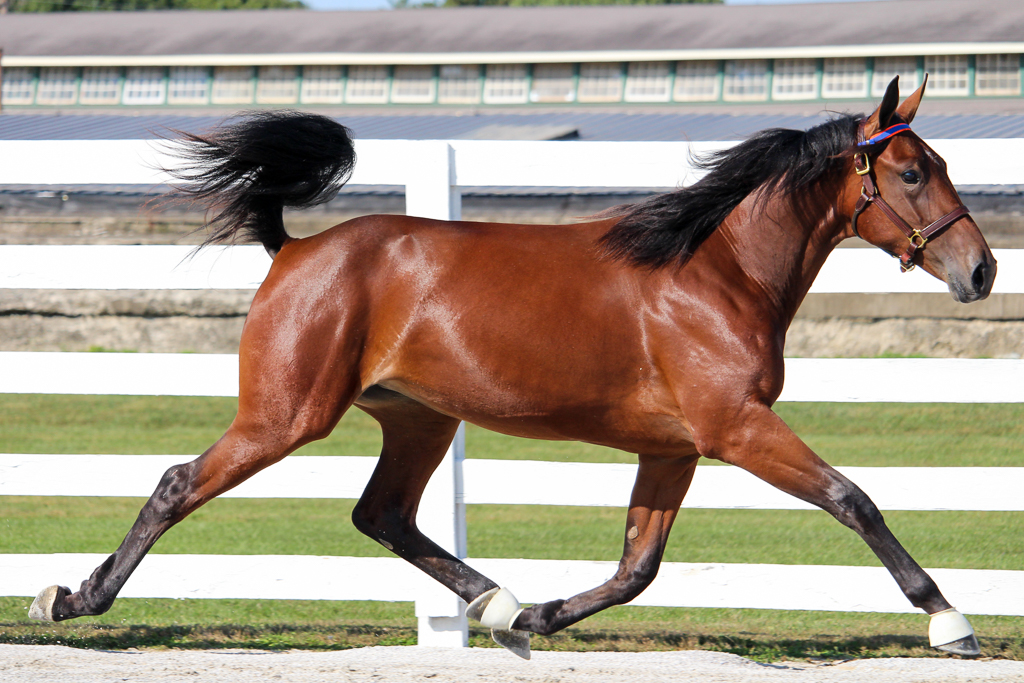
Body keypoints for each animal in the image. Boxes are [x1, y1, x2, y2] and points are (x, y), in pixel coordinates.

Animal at [29, 77, 991, 659]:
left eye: (938, 164)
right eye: (912, 171)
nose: (981, 271)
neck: (713, 272)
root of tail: (293, 250)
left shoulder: (674, 446)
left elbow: (638, 565)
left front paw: (537, 616)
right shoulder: (736, 428)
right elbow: (852, 498)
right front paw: (948, 619)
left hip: (419, 416)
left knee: (382, 513)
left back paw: (495, 603)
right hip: (285, 414)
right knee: (178, 483)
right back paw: (68, 599)